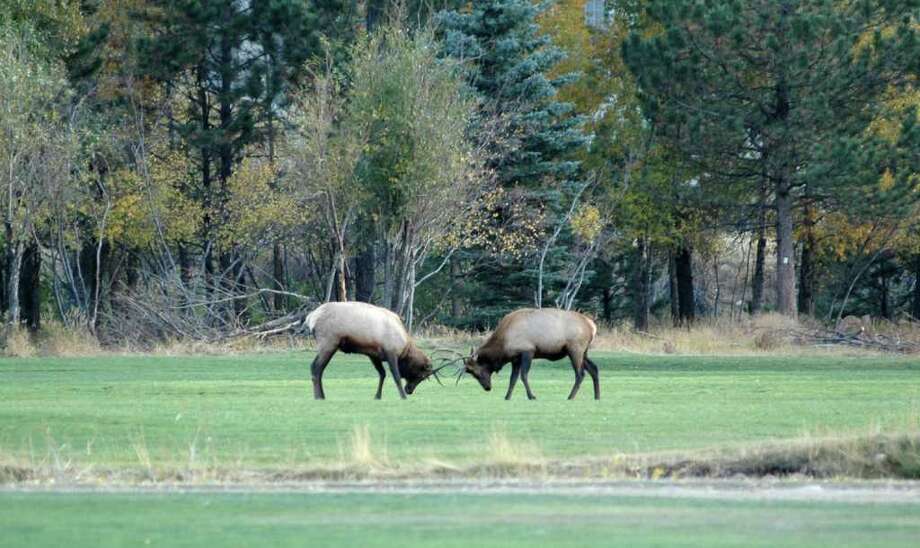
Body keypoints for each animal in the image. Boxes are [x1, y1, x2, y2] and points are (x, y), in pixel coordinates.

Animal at [306, 302, 442, 400]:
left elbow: (382, 374)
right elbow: (396, 376)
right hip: (328, 343)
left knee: (318, 369)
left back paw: (321, 395)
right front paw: (402, 397)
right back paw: (319, 396)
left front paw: (377, 396)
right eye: (421, 375)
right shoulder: (391, 353)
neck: (405, 348)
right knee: (316, 367)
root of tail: (311, 318)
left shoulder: (374, 355)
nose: (409, 390)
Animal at [460, 308, 604, 402]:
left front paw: (532, 396)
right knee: (594, 368)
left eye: (476, 373)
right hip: (583, 351)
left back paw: (570, 396)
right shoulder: (516, 358)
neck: (504, 344)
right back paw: (597, 396)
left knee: (580, 374)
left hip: (575, 349)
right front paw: (507, 396)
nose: (487, 387)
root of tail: (592, 326)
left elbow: (523, 376)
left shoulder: (528, 351)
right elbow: (513, 379)